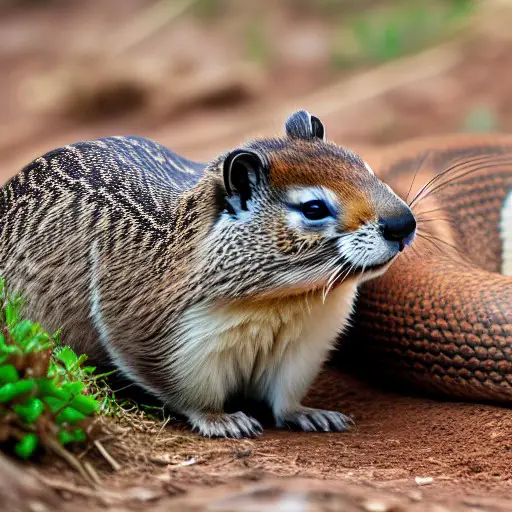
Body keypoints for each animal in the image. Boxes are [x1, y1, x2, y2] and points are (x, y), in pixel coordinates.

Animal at [0, 111, 416, 436]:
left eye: (366, 169)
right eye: (313, 208)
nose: (404, 224)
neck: (282, 300)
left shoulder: (304, 348)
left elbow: (285, 398)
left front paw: (310, 415)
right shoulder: (166, 342)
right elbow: (189, 393)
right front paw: (224, 421)